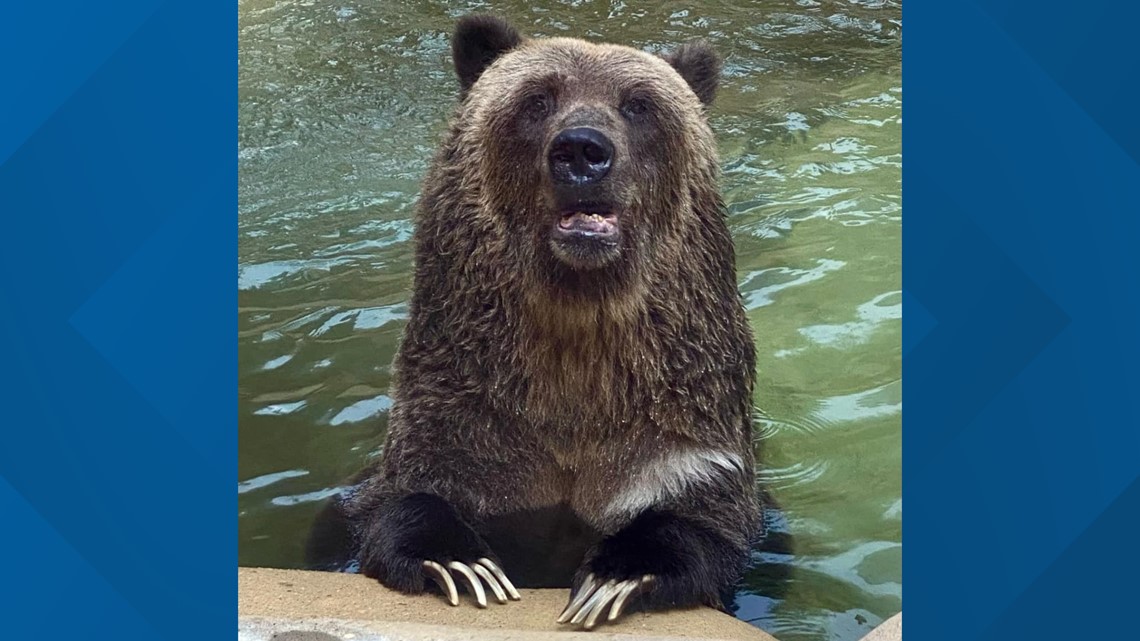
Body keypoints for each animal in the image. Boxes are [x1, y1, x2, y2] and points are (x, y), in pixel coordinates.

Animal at [307, 13, 761, 629]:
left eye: (638, 104)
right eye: (538, 99)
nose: (582, 150)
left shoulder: (677, 433)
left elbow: (703, 521)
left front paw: (616, 576)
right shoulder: (464, 425)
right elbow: (404, 501)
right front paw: (460, 564)